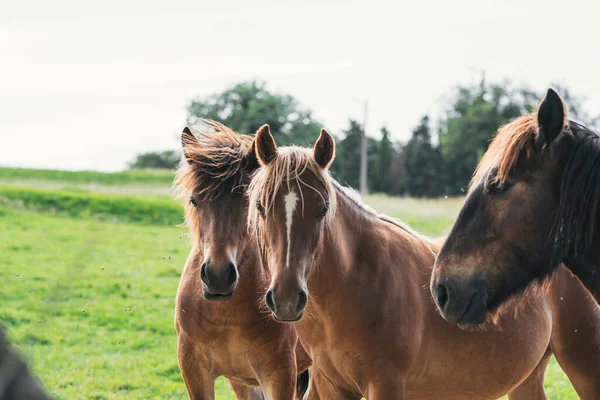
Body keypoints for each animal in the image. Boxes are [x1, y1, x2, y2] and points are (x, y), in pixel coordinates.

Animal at [173, 122, 312, 400]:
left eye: (250, 202)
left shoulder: (280, 375)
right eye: (194, 200)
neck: (225, 317)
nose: (217, 277)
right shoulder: (195, 371)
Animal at [247, 126, 600, 400]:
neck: (355, 284)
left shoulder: (386, 386)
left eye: (322, 209)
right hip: (527, 379)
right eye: (261, 207)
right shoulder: (330, 386)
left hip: (584, 367)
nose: (287, 298)